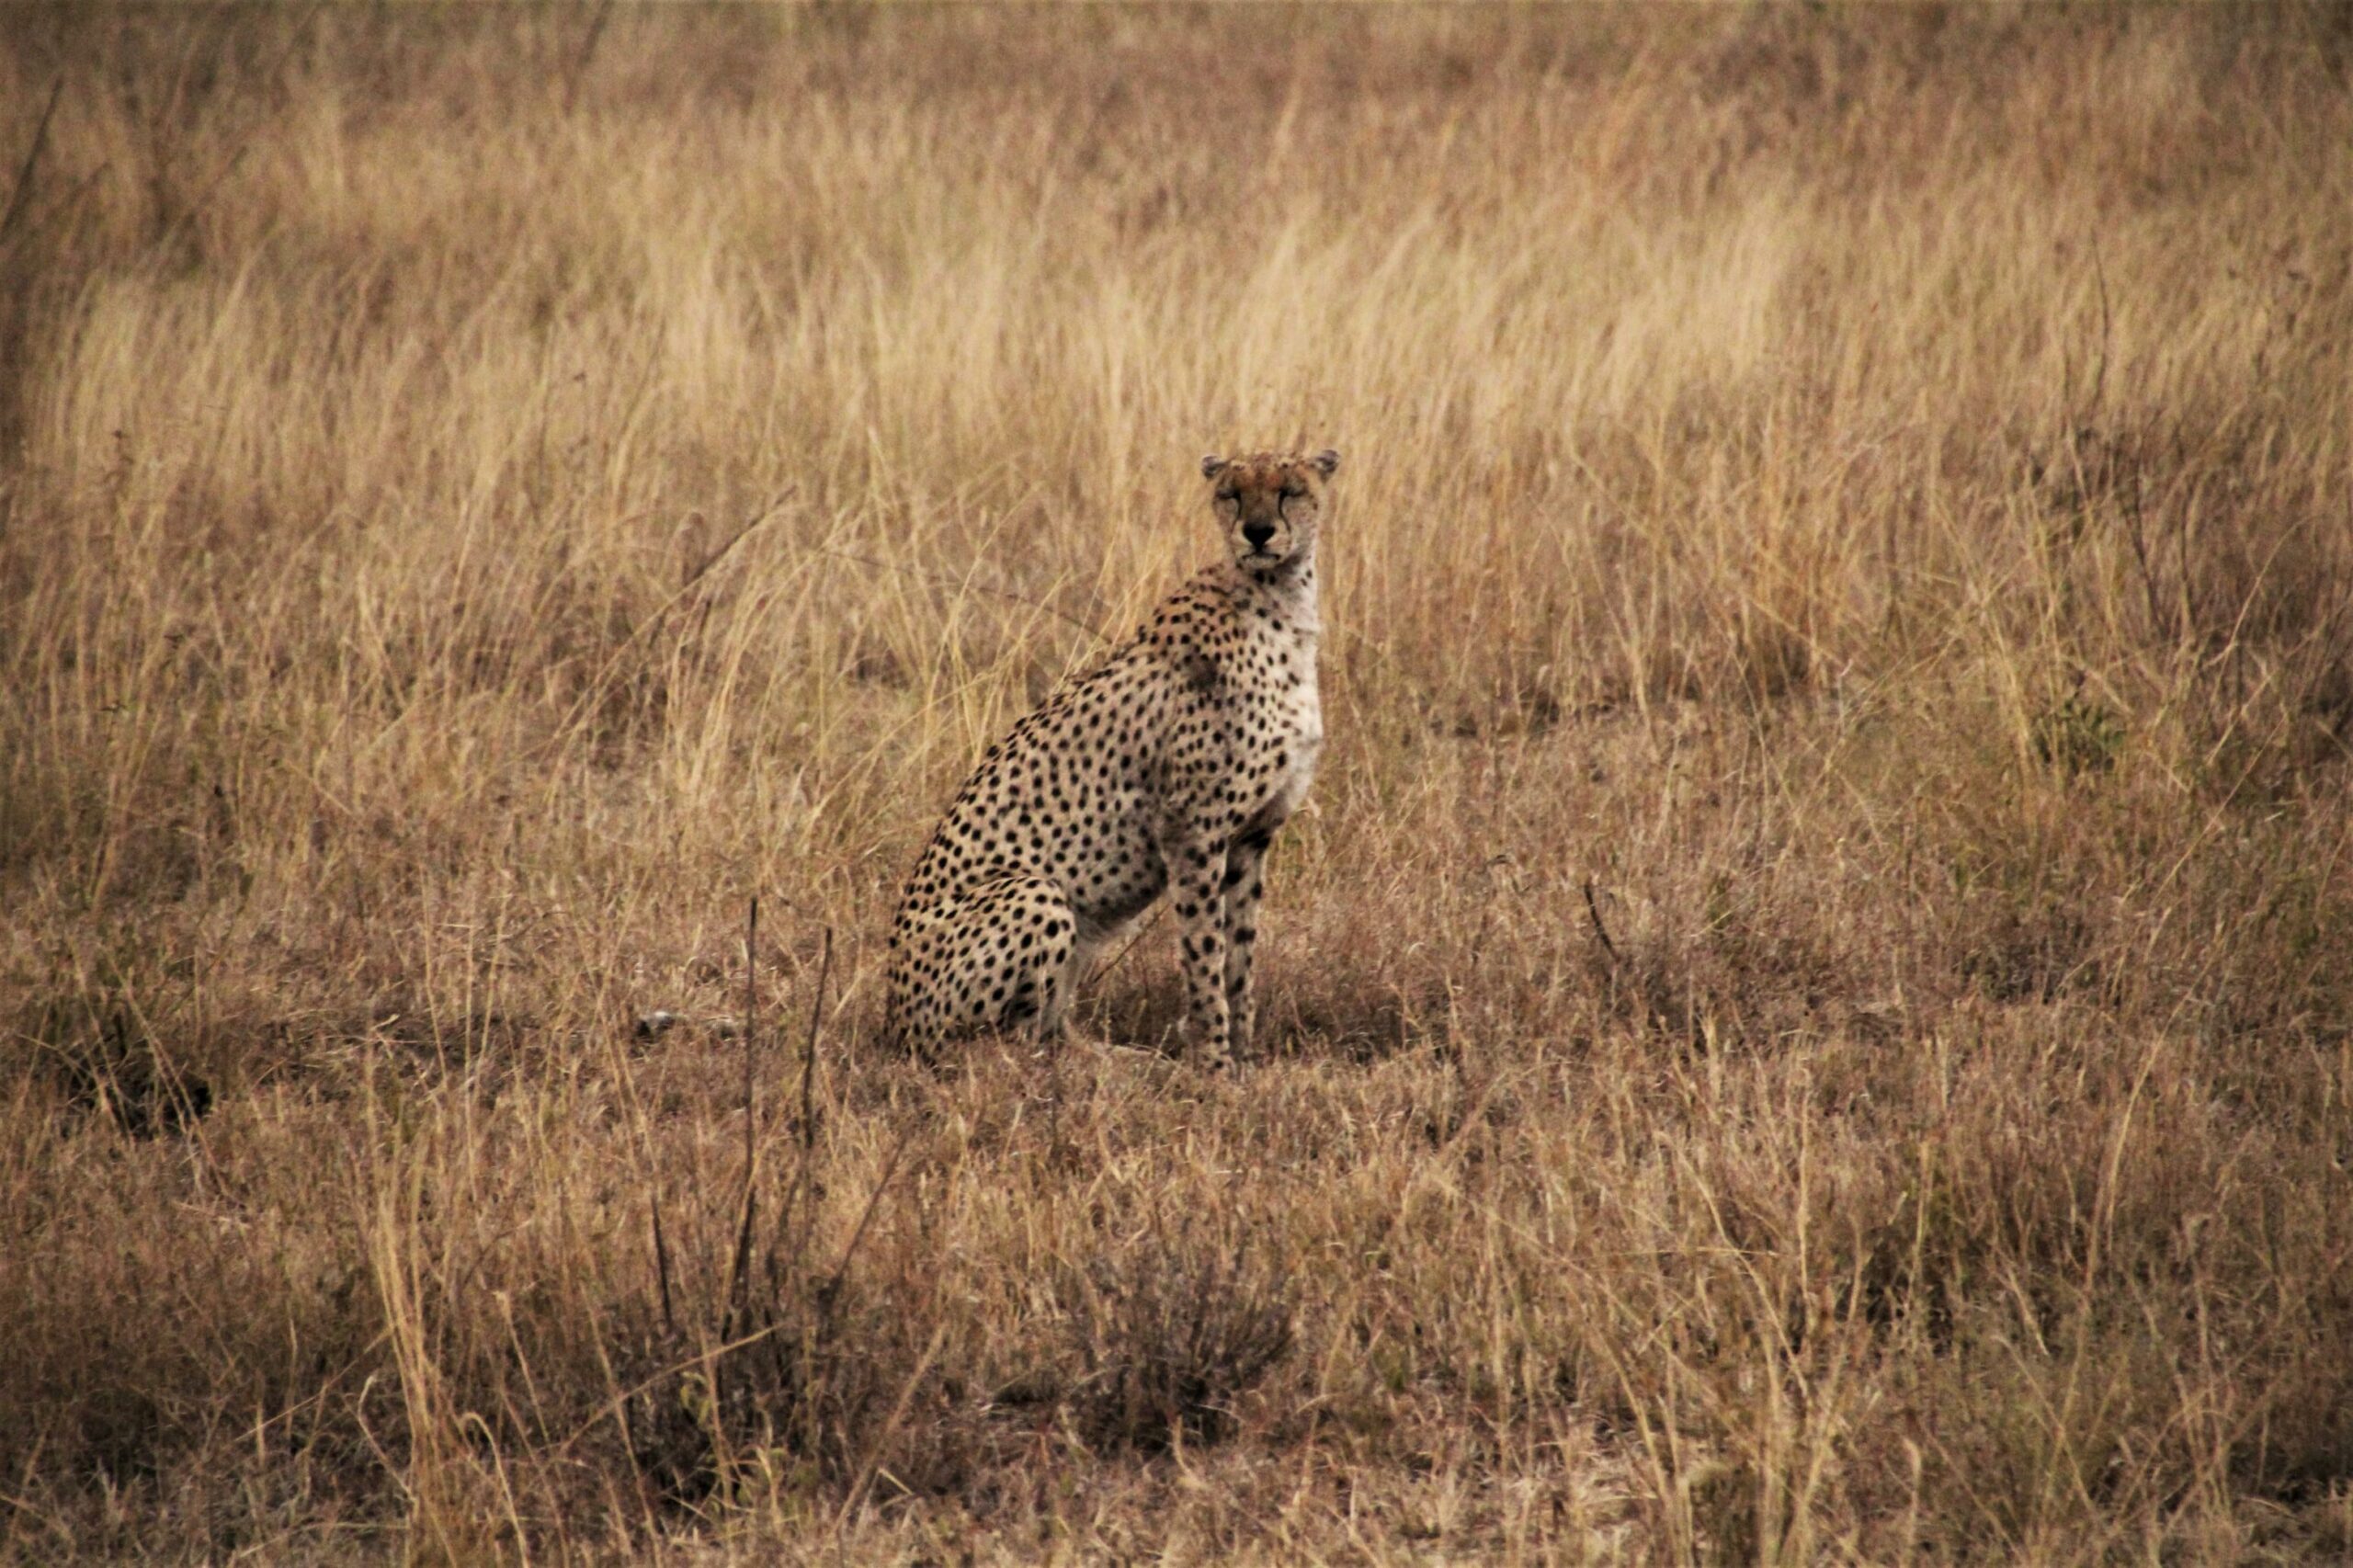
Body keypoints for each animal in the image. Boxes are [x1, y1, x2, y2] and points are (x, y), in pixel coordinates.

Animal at [884, 445, 1346, 1068]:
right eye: (1231, 493)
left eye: (1289, 490)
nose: (1257, 531)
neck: (1279, 598)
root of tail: (892, 1018)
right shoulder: (1191, 829)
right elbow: (1204, 952)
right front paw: (1213, 1065)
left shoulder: (1252, 835)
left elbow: (1240, 957)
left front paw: (1245, 1059)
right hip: (1033, 893)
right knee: (1005, 1046)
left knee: (1048, 1031)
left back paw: (1120, 1059)